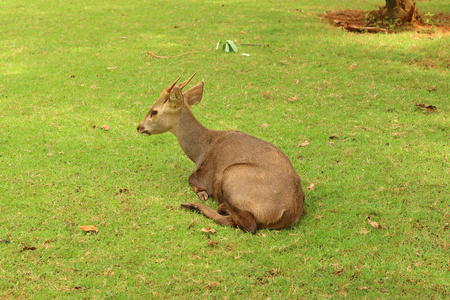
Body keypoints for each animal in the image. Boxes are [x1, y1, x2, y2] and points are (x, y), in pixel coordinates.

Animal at [137, 74, 306, 233]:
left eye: (154, 111)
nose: (139, 127)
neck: (201, 151)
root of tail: (288, 211)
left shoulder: (203, 175)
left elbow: (191, 179)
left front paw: (202, 194)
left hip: (233, 175)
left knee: (246, 224)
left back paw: (203, 205)